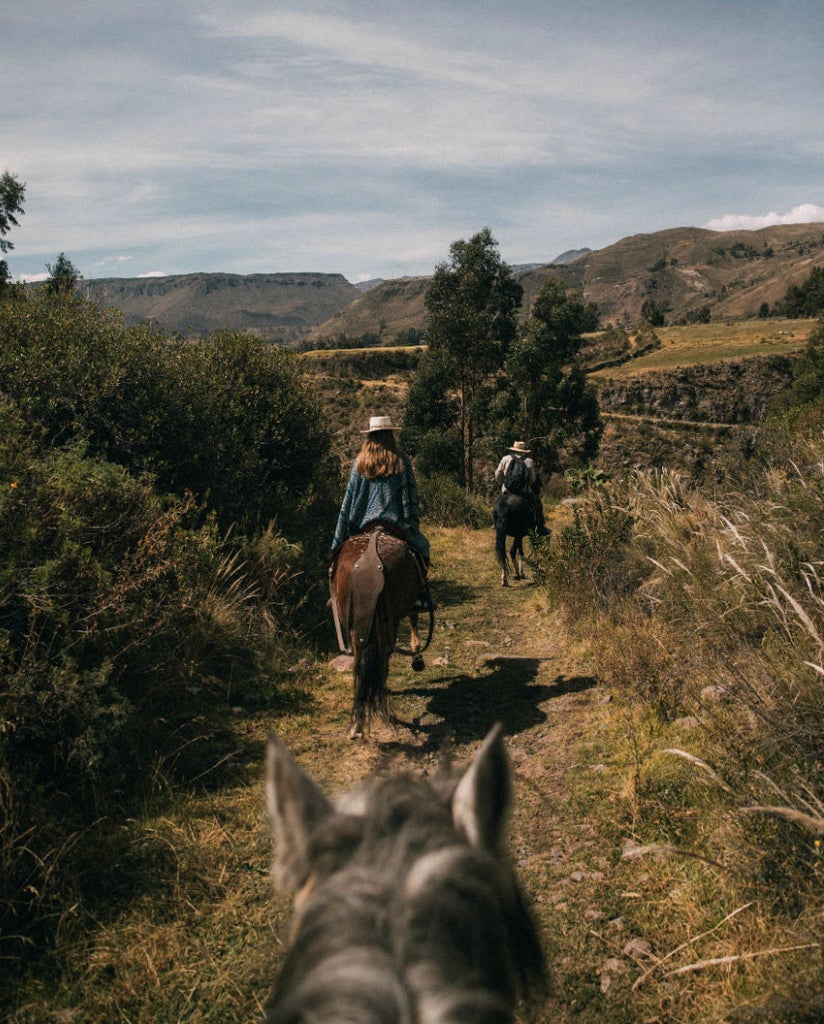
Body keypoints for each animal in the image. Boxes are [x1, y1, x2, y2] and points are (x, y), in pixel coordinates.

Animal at [327, 524, 429, 741]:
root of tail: (371, 559)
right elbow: (414, 620)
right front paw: (417, 658)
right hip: (389, 622)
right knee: (383, 658)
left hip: (357, 626)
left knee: (361, 663)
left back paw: (357, 725)